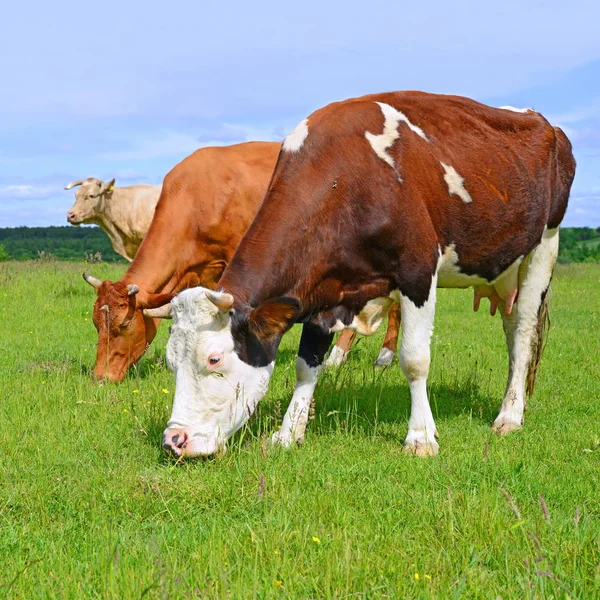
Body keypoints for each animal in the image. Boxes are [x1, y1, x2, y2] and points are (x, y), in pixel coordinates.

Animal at [148, 89, 576, 458]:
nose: (174, 441)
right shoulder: (322, 286)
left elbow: (414, 359)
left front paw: (421, 437)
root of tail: (545, 123)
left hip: (544, 245)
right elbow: (307, 364)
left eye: (214, 359)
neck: (347, 177)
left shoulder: (418, 270)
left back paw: (510, 415)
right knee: (511, 329)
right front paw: (289, 433)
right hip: (502, 269)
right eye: (170, 362)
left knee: (524, 333)